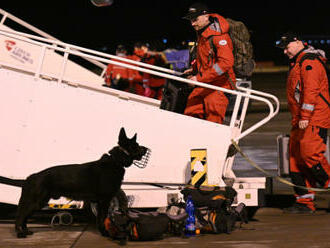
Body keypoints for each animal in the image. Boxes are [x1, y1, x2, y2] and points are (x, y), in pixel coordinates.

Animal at [9, 128, 148, 238]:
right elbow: (102, 218)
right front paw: (105, 233)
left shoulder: (101, 201)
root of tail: (31, 177)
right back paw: (20, 233)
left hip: (39, 202)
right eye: (135, 145)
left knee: (24, 217)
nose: (146, 149)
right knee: (20, 216)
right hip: (36, 202)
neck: (116, 161)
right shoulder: (104, 201)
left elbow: (100, 219)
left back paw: (25, 231)